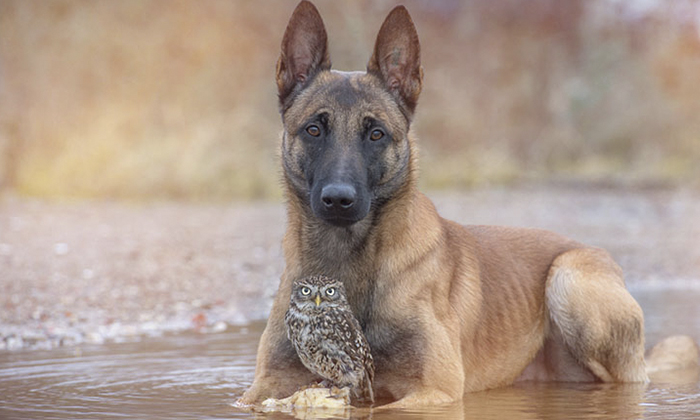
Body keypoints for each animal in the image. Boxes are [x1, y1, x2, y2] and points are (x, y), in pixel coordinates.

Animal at [238, 0, 692, 406]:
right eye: (314, 129)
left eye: (376, 134)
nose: (338, 200)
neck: (345, 260)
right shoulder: (264, 386)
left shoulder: (433, 391)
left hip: (568, 280)